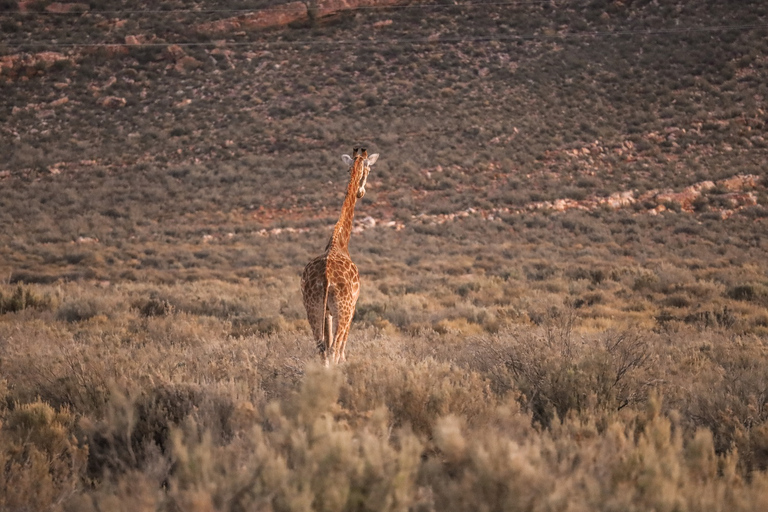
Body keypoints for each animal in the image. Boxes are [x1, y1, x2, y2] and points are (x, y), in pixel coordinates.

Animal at [304, 146, 380, 366]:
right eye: (369, 170)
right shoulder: (353, 305)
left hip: (312, 307)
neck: (339, 242)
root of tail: (326, 278)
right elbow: (342, 347)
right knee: (334, 349)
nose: (361, 192)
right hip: (343, 308)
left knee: (321, 347)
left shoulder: (327, 312)